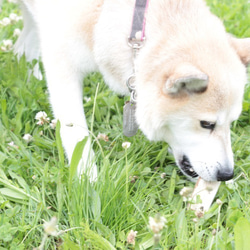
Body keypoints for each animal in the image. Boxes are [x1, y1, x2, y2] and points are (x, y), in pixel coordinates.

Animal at [16, 0, 250, 184]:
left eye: (232, 122)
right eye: (207, 124)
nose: (227, 174)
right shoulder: (63, 68)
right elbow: (77, 136)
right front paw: (88, 181)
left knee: (23, 45)